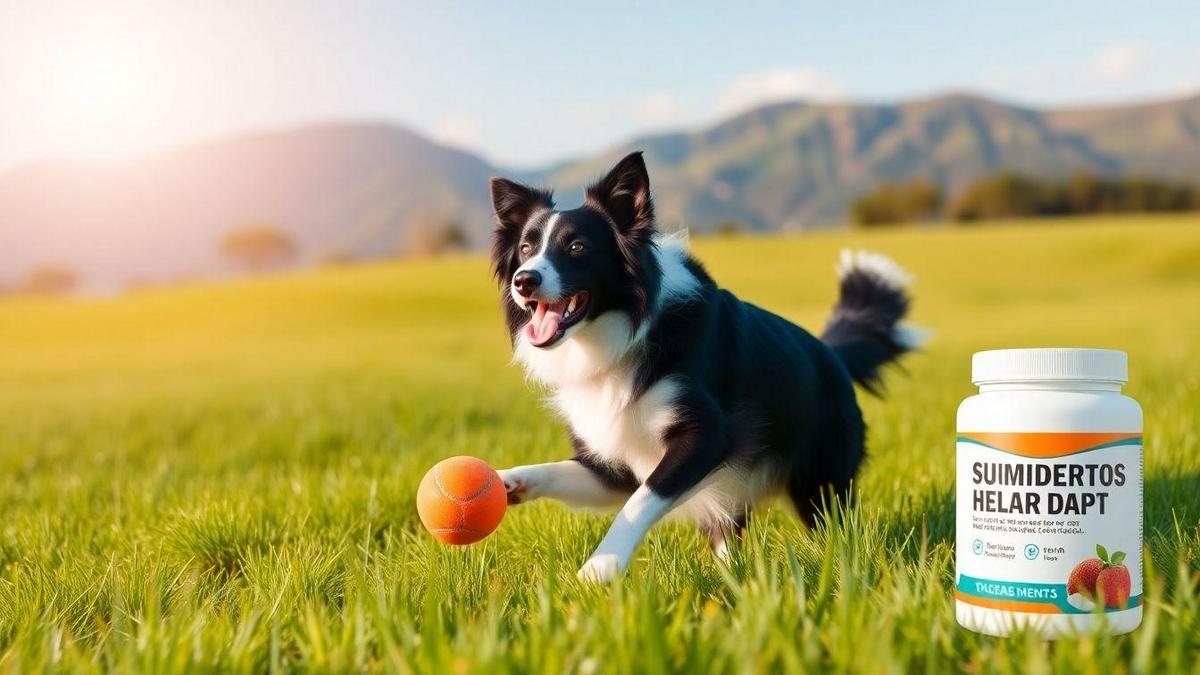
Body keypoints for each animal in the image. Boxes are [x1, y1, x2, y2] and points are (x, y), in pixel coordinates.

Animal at [487, 151, 916, 578]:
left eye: (577, 246)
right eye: (526, 249)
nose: (524, 280)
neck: (622, 333)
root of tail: (831, 353)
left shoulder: (707, 436)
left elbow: (641, 500)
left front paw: (600, 567)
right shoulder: (613, 463)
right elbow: (559, 471)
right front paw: (505, 481)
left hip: (821, 478)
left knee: (834, 524)